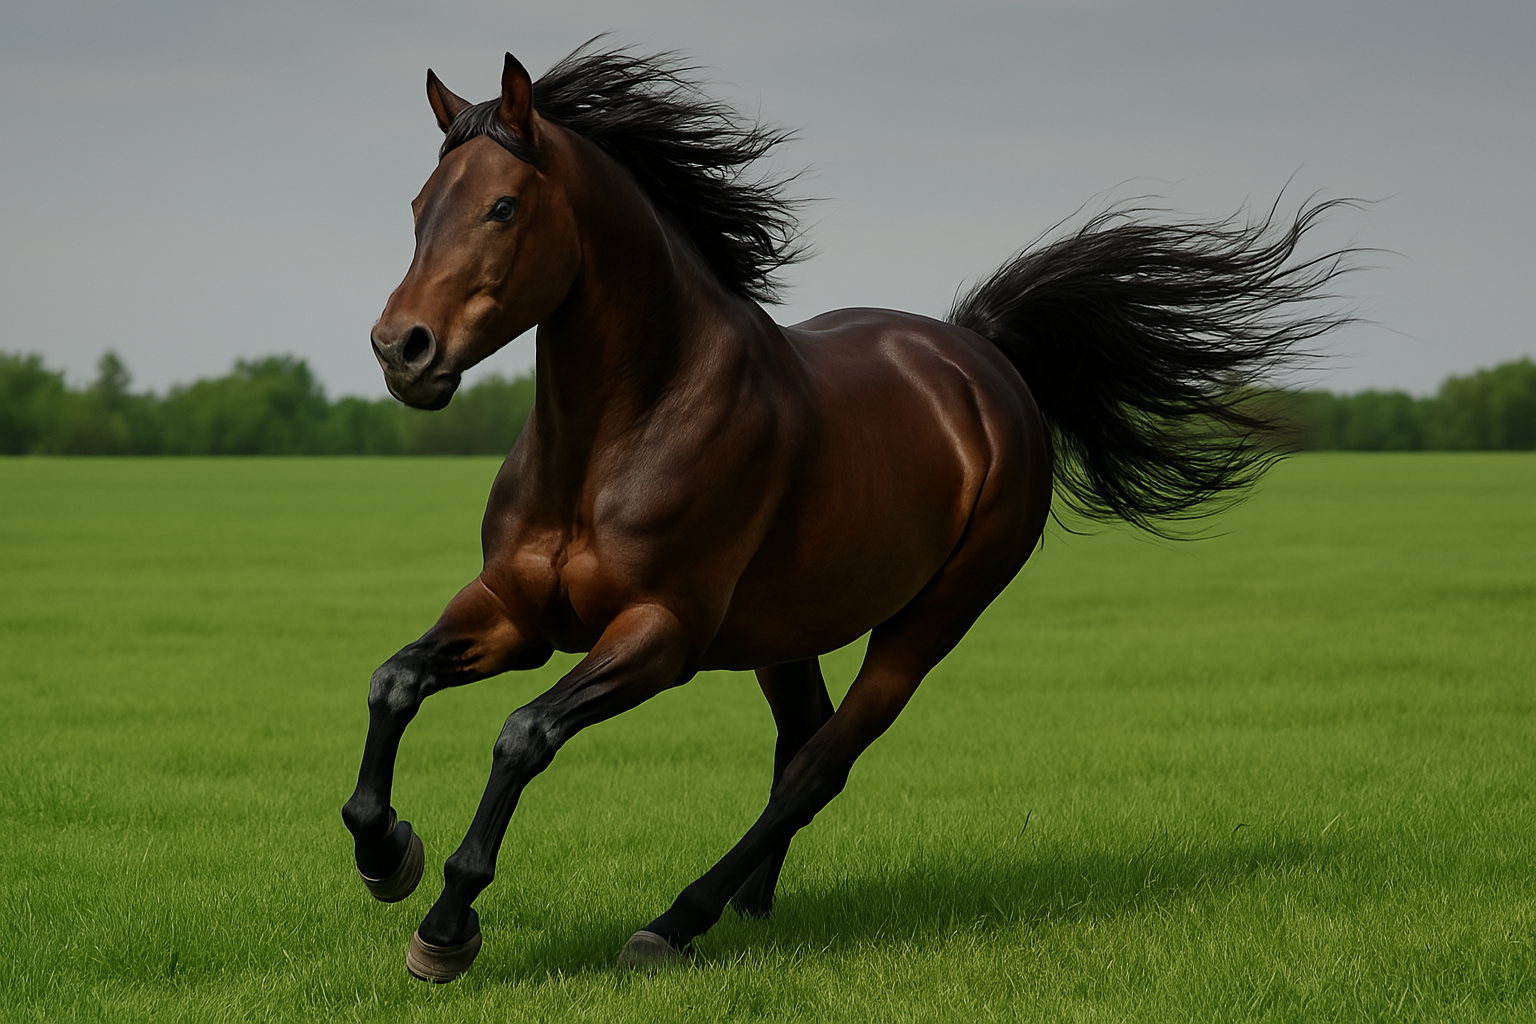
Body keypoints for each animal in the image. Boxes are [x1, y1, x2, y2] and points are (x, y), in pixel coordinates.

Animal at [340, 43, 1356, 981]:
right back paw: (748, 906)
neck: (612, 440)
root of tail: (985, 361)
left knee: (820, 765)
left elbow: (524, 735)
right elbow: (394, 682)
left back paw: (677, 923)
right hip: (783, 633)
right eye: (419, 206)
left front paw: (446, 926)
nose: (402, 349)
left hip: (929, 623)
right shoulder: (514, 612)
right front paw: (387, 855)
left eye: (503, 207)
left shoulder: (660, 637)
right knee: (800, 741)